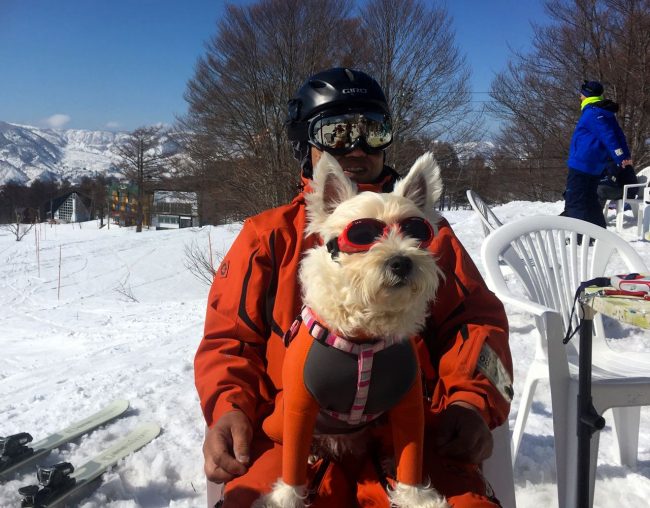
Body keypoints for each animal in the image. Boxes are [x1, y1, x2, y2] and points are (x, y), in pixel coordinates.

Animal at [256, 152, 448, 508]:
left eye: (416, 231)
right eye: (363, 235)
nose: (401, 262)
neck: (363, 339)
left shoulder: (409, 403)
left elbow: (412, 452)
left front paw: (416, 496)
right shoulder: (300, 405)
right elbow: (291, 465)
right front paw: (285, 498)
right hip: (278, 419)